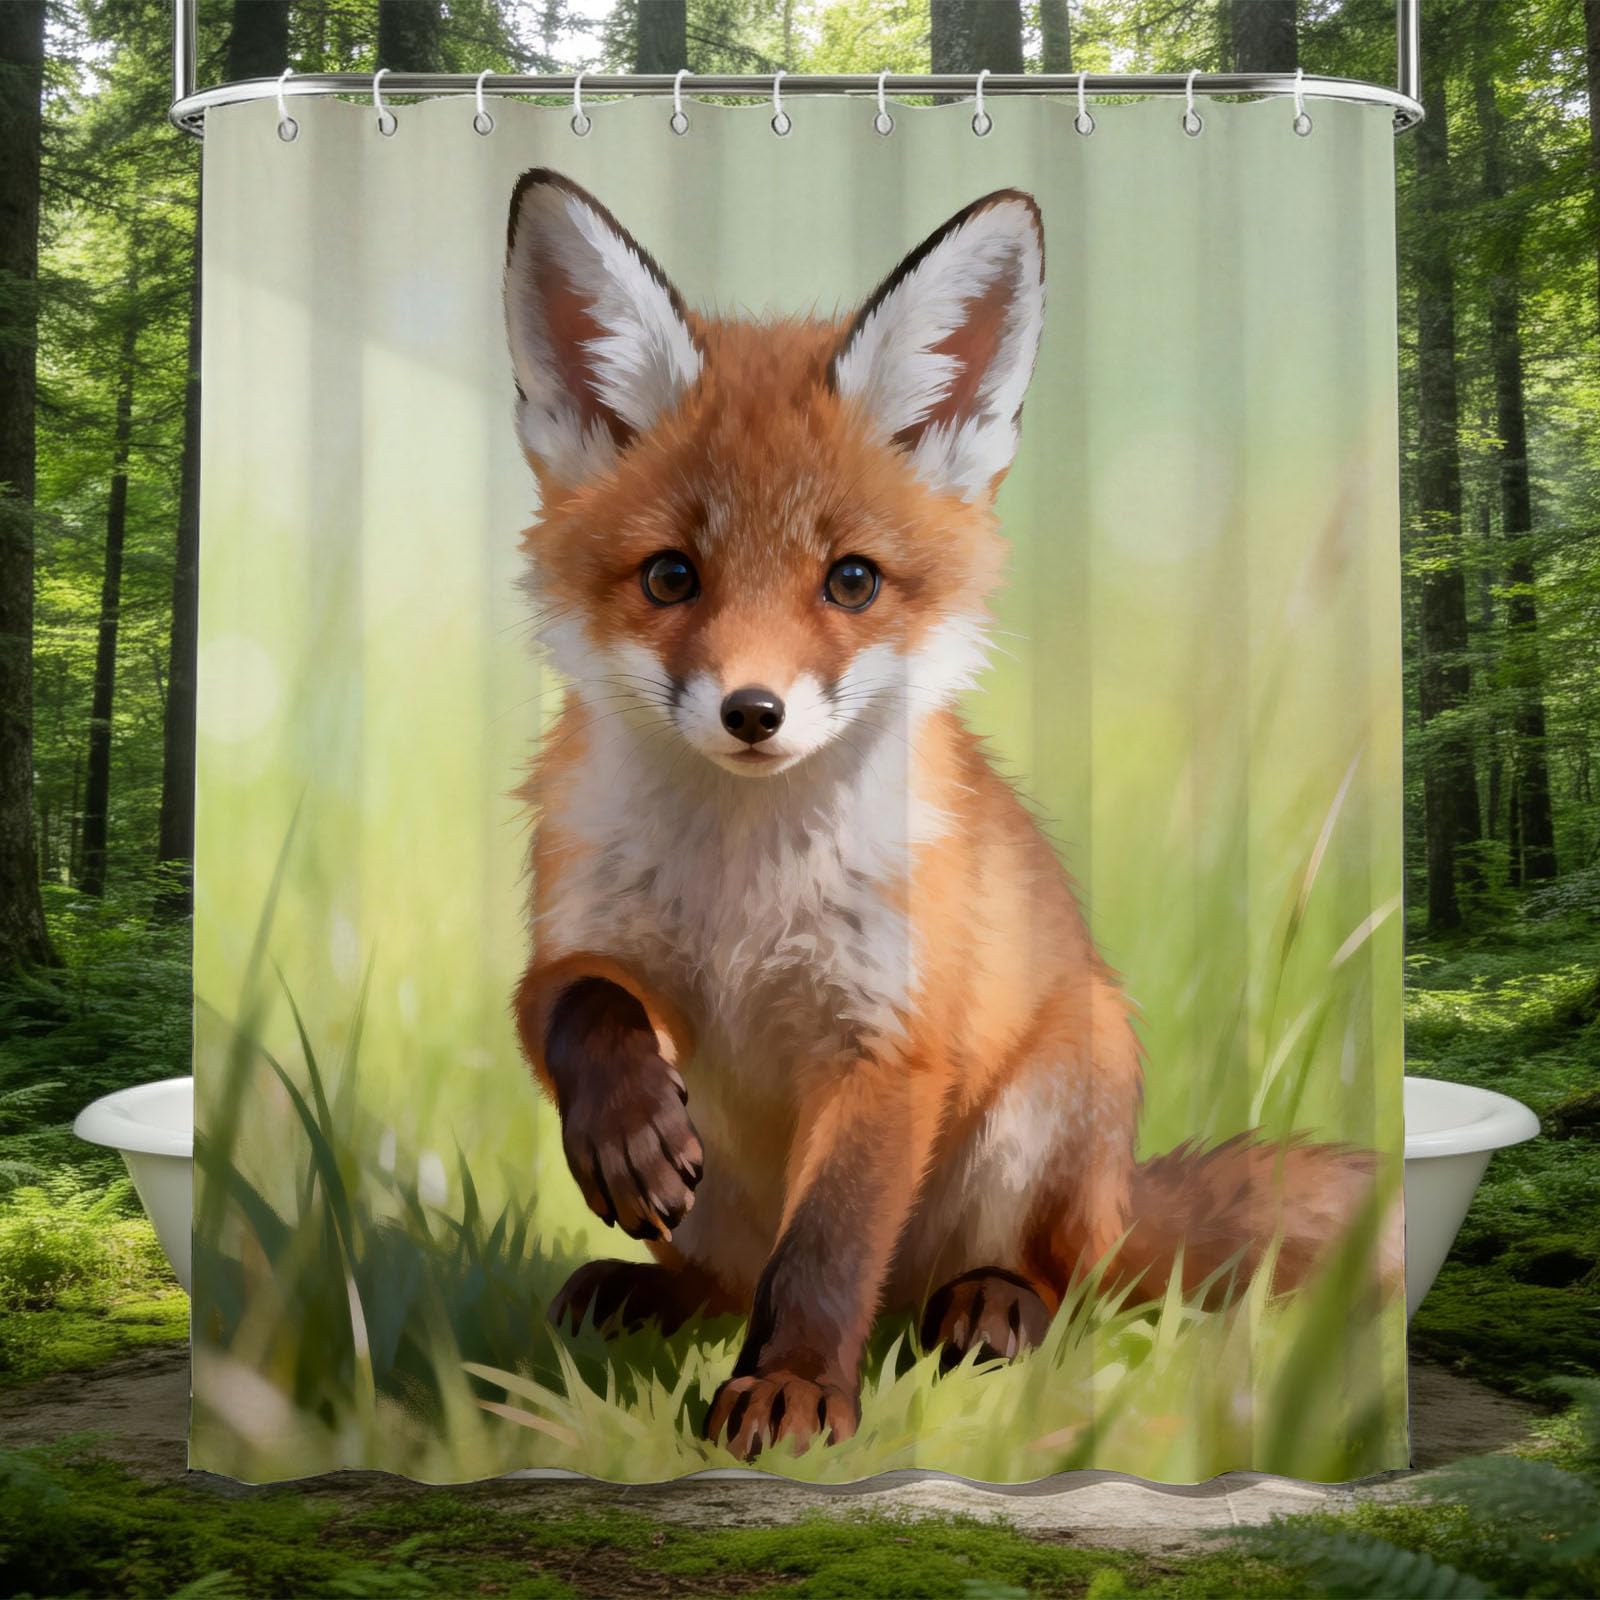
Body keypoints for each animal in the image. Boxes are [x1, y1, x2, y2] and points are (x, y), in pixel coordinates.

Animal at [502, 169, 1396, 1463]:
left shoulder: (889, 1039)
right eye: (671, 576)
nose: (753, 712)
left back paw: (987, 1307)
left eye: (851, 581)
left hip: (1057, 1095)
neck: (742, 892)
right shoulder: (565, 948)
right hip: (725, 1205)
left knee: (1052, 1282)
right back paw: (647, 1291)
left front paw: (794, 1392)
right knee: (726, 1274)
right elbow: (582, 1008)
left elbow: (826, 1248)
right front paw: (625, 1130)